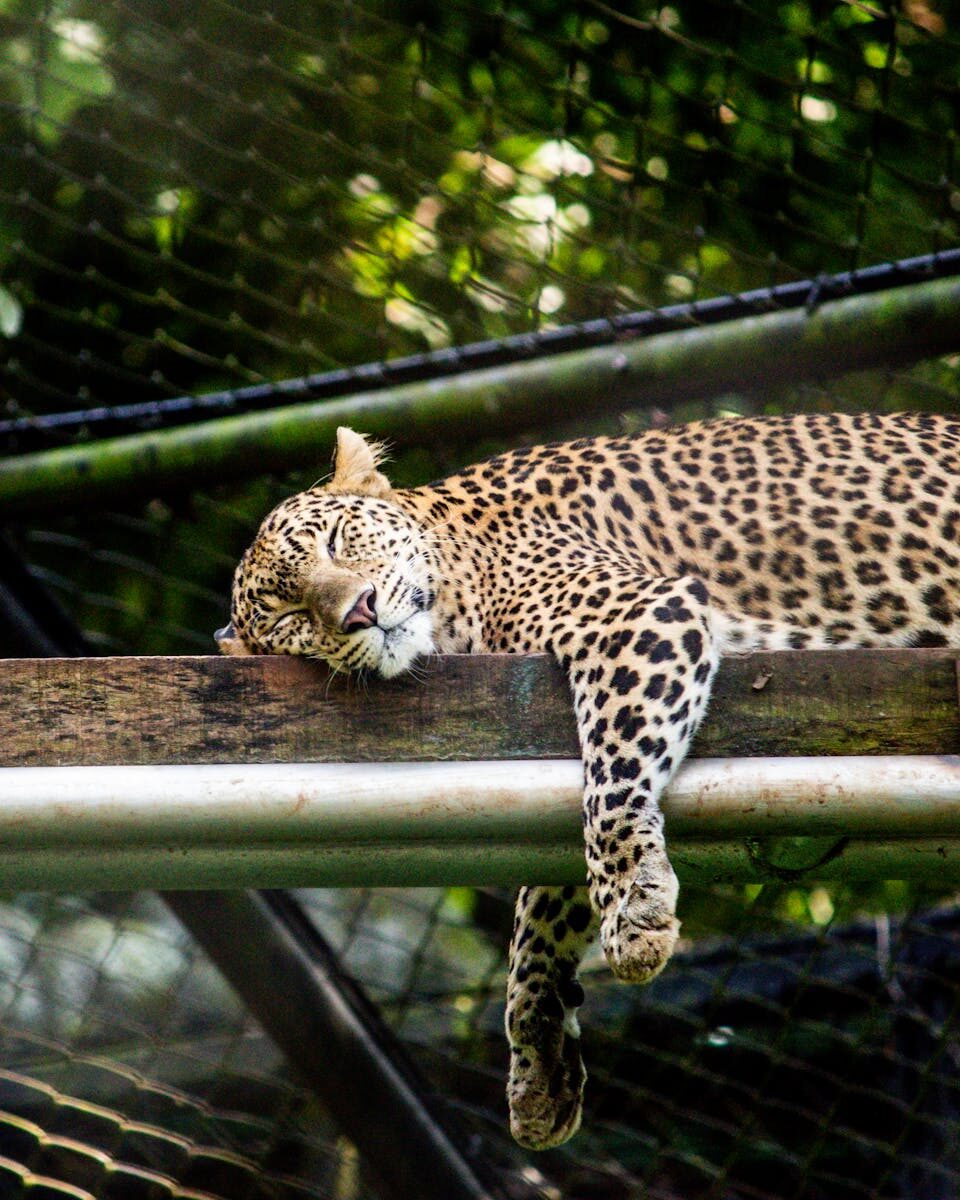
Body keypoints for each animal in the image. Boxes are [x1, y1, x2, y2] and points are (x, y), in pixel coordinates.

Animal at [217, 410, 960, 1150]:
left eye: (338, 541)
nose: (361, 611)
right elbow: (540, 906)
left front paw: (635, 911)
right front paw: (538, 1058)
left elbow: (612, 777)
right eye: (290, 616)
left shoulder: (639, 614)